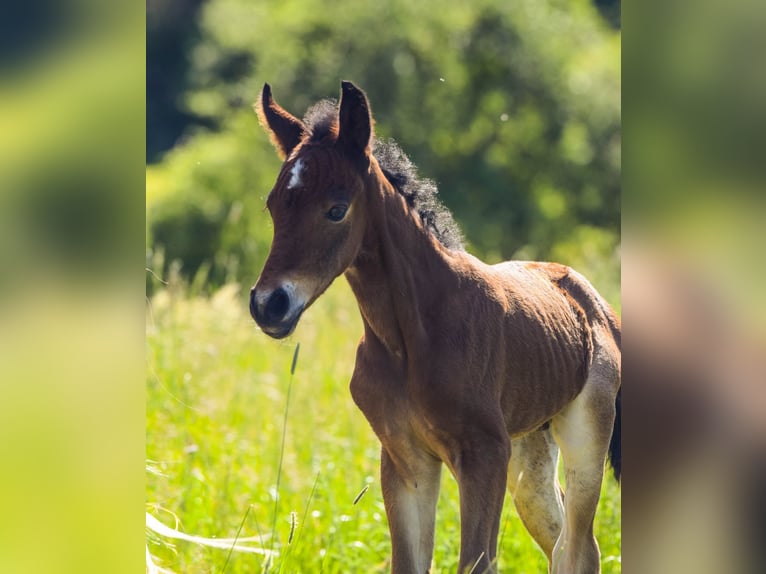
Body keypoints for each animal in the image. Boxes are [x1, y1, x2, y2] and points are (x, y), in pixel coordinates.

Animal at [249, 81, 621, 574]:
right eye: (273, 206)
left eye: (336, 209)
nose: (268, 305)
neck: (410, 339)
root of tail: (595, 302)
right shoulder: (406, 461)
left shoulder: (484, 455)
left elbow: (476, 562)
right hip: (530, 458)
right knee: (561, 542)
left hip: (584, 435)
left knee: (580, 546)